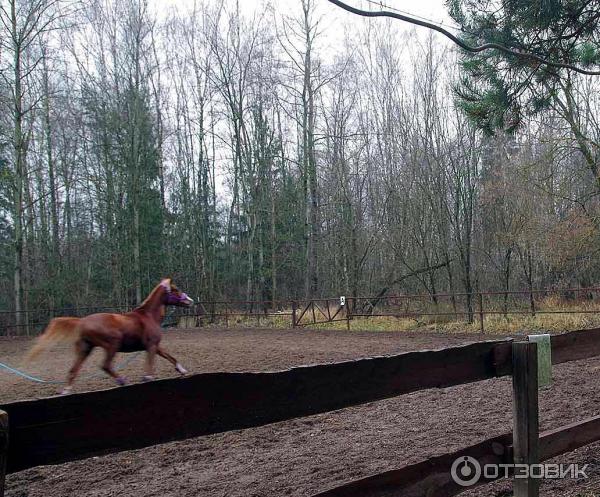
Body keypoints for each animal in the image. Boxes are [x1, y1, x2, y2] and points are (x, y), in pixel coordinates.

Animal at [29, 280, 193, 392]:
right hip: (111, 345)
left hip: (85, 349)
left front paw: (182, 370)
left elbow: (170, 357)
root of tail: (82, 321)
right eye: (176, 290)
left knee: (73, 371)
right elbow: (150, 366)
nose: (190, 301)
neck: (148, 316)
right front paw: (147, 377)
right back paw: (121, 381)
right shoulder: (151, 346)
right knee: (105, 365)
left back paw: (66, 391)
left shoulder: (154, 346)